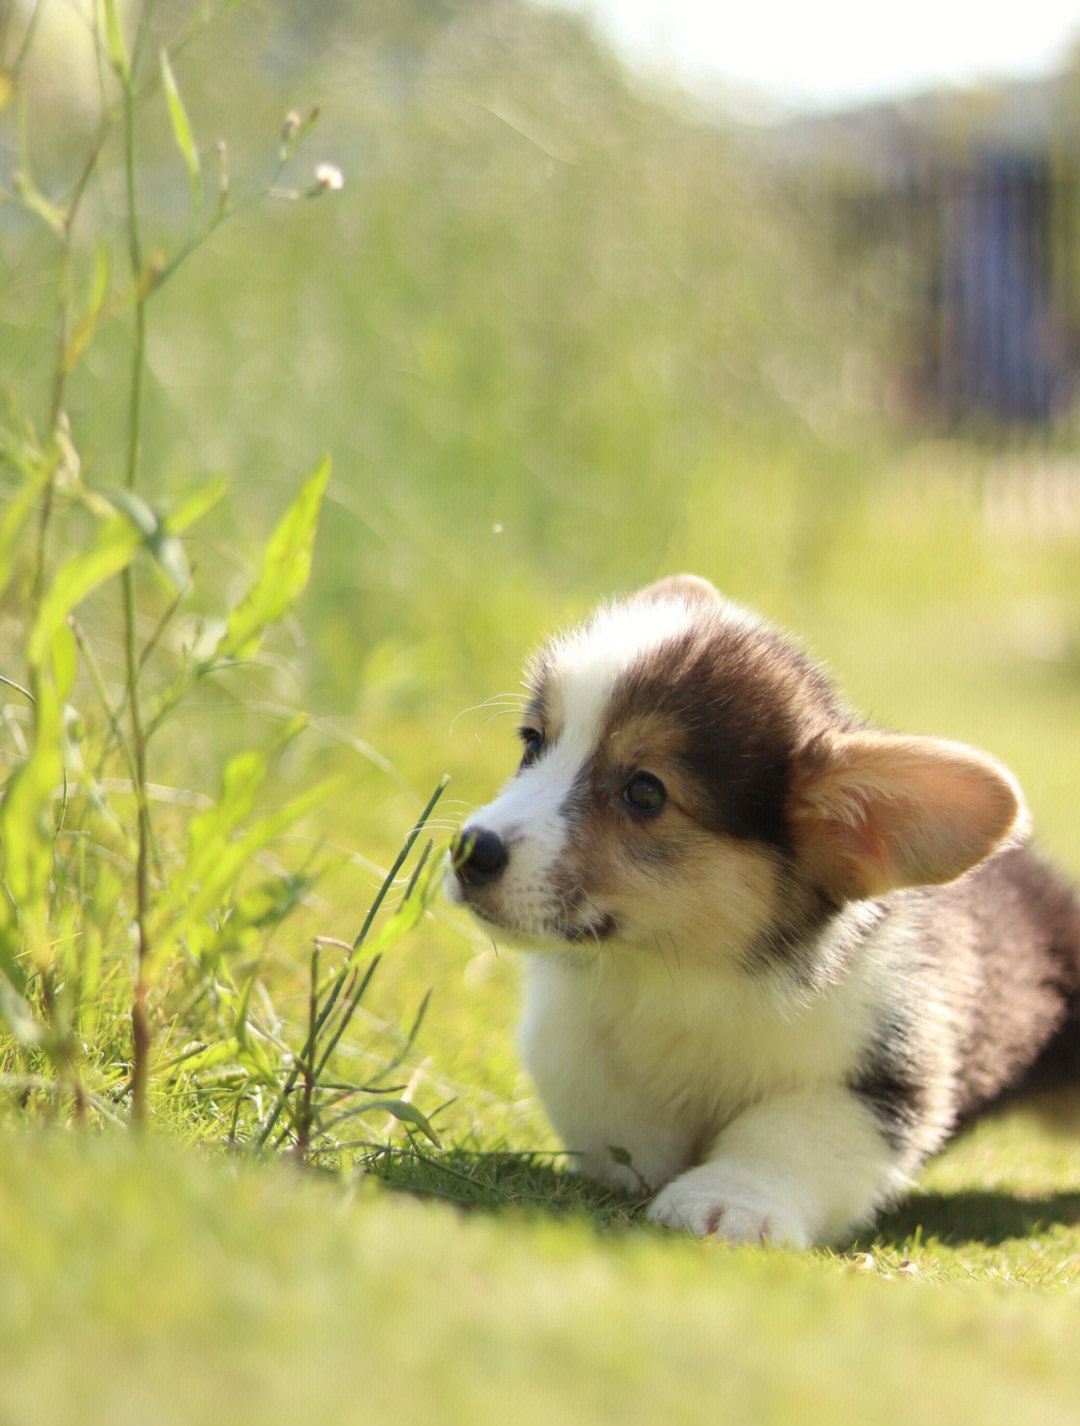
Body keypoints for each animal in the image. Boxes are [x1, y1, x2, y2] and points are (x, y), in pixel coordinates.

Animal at [445, 573, 1078, 1243]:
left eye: (645, 792)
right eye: (533, 743)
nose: (470, 850)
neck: (685, 969)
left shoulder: (884, 1074)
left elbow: (785, 1134)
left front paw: (726, 1204)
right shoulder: (574, 1038)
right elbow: (610, 1112)